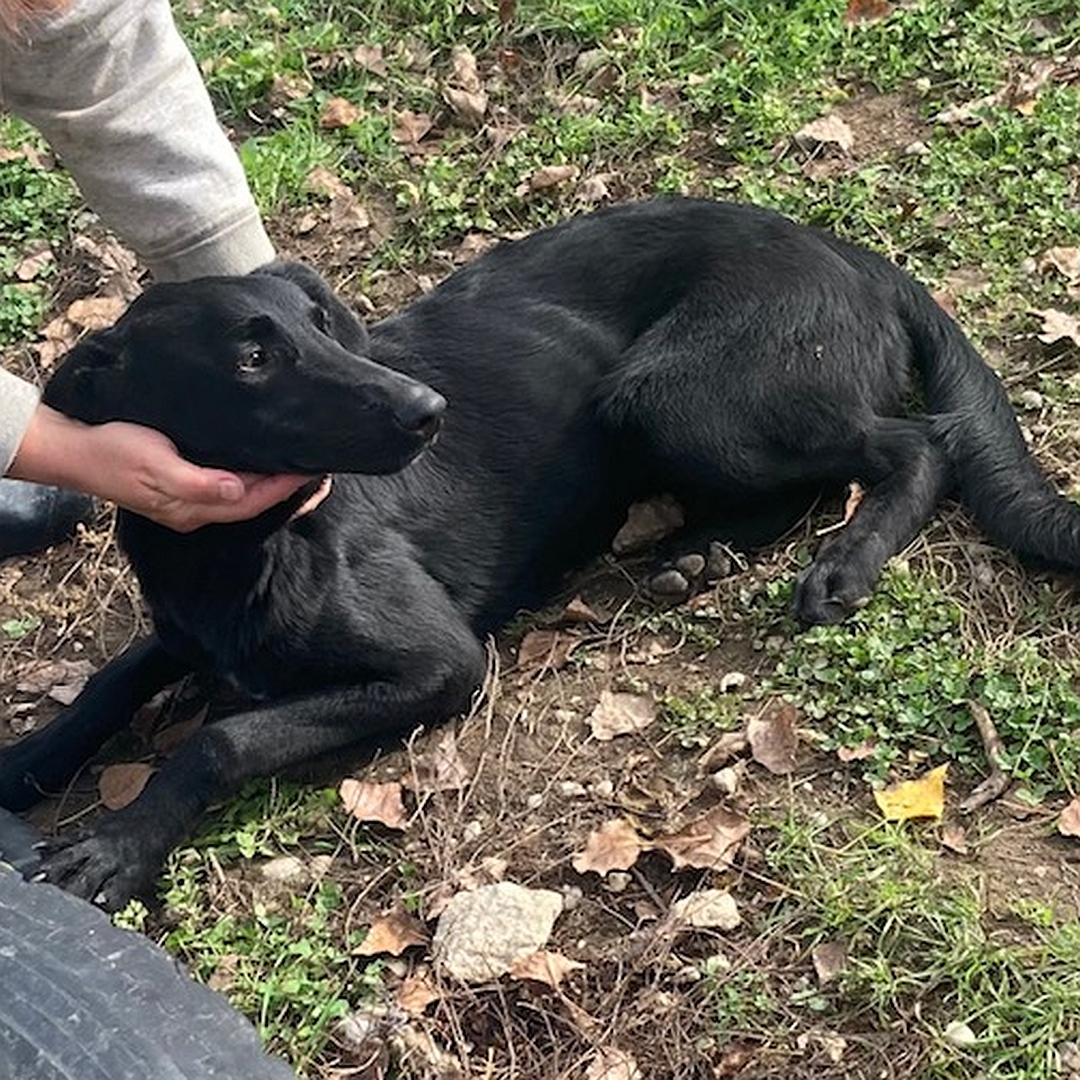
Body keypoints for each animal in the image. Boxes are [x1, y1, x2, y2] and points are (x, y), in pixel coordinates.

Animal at [2, 198, 1080, 907]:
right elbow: (111, 682)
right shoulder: (188, 629)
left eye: (325, 328)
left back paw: (846, 561)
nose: (428, 411)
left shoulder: (440, 664)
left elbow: (221, 738)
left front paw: (118, 845)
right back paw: (701, 554)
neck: (240, 548)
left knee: (916, 444)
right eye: (254, 358)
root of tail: (849, 251)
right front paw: (29, 757)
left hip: (668, 394)